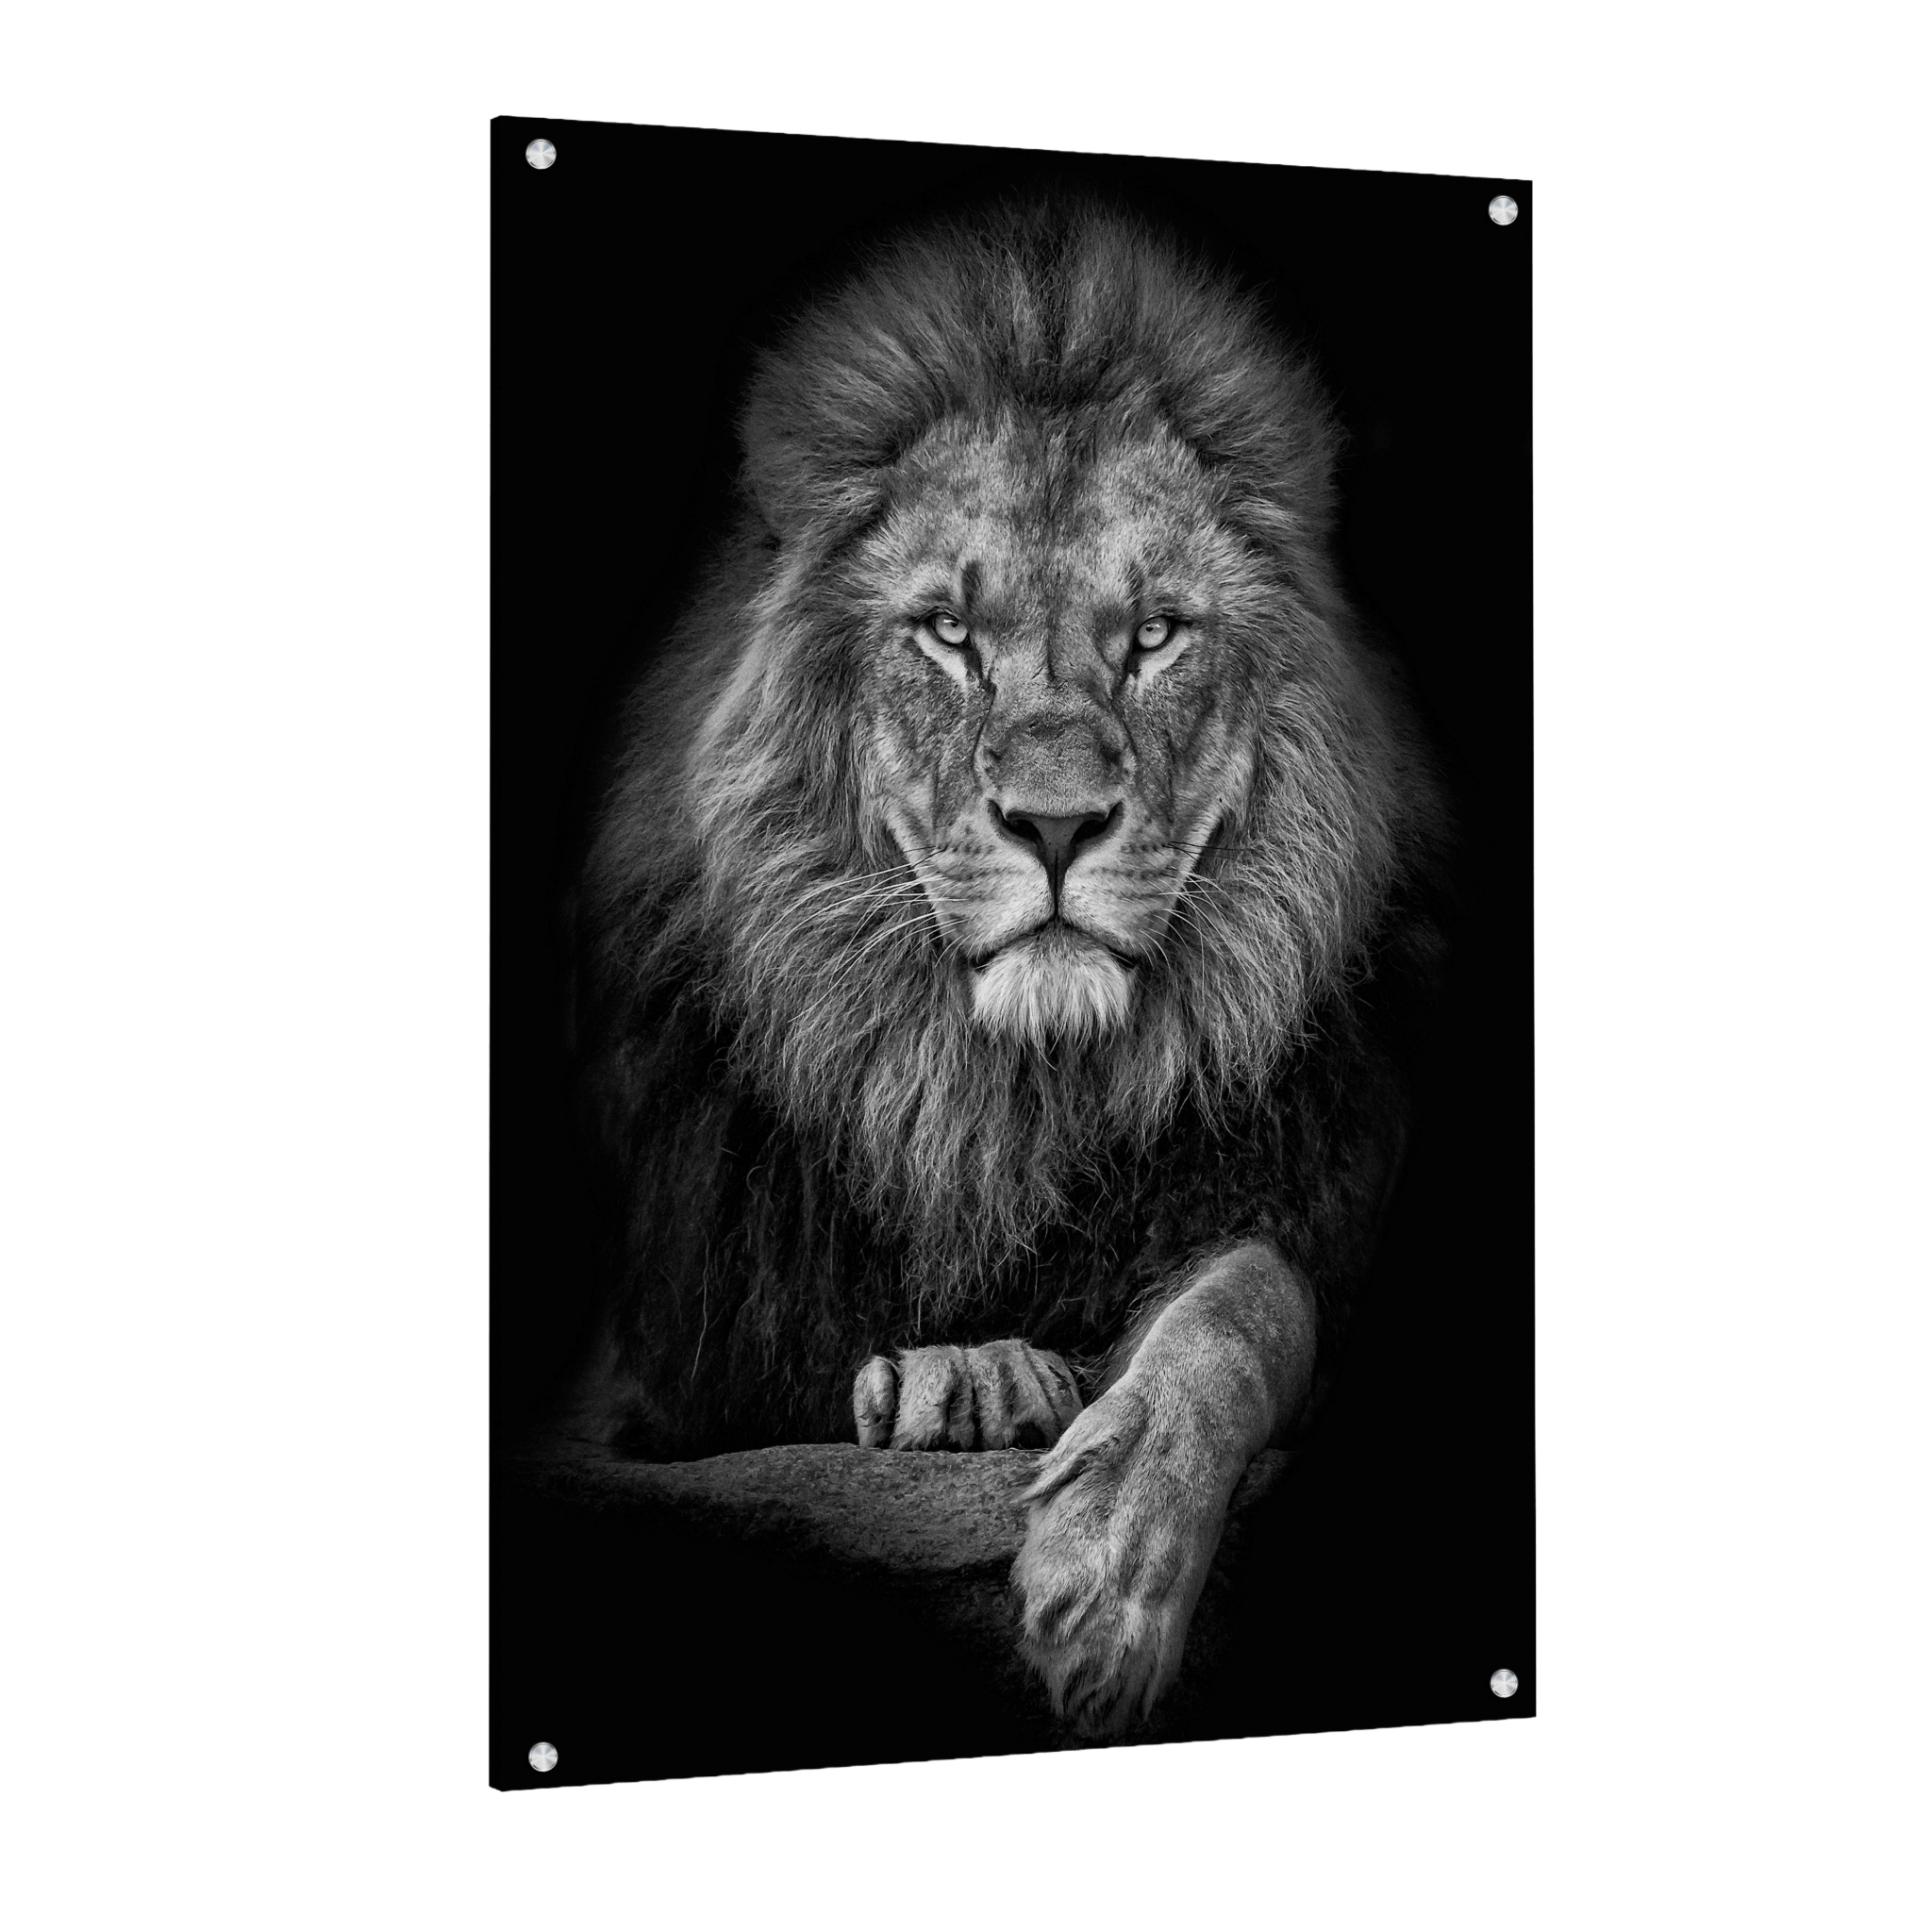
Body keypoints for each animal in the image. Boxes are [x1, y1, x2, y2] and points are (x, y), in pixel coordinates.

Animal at [566, 197, 1448, 1738]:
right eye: (948, 634)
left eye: (1152, 634)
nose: (1052, 822)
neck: (1002, 1100)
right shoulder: (656, 1374)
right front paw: (967, 1379)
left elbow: (1245, 1303)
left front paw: (1108, 1576)